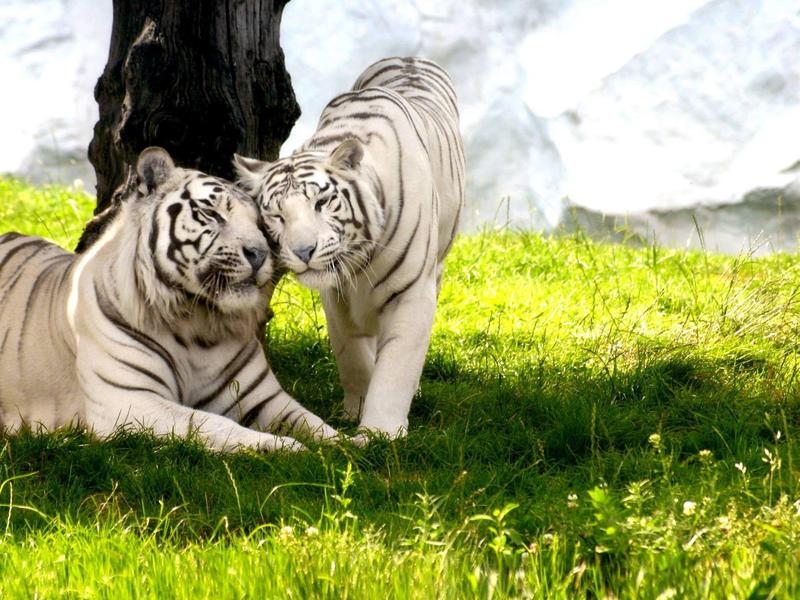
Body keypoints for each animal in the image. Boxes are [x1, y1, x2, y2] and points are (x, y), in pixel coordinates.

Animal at [0, 146, 339, 452]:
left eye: (262, 224)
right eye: (213, 214)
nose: (259, 254)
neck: (197, 322)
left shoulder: (263, 399)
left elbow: (313, 422)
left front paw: (347, 445)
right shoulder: (130, 401)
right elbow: (209, 423)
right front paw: (282, 446)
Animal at [234, 56, 465, 440]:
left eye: (322, 203)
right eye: (277, 215)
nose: (303, 252)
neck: (360, 261)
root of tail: (409, 58)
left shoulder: (410, 293)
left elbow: (396, 365)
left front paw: (380, 431)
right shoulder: (337, 297)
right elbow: (352, 355)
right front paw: (354, 410)